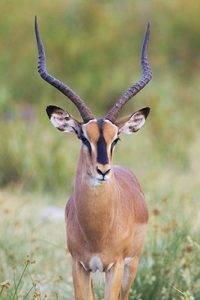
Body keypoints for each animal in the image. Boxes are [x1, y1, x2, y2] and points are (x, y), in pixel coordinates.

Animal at [35, 17, 152, 300]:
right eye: (83, 137)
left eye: (116, 139)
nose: (103, 170)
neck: (98, 231)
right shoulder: (79, 266)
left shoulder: (115, 267)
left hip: (132, 266)